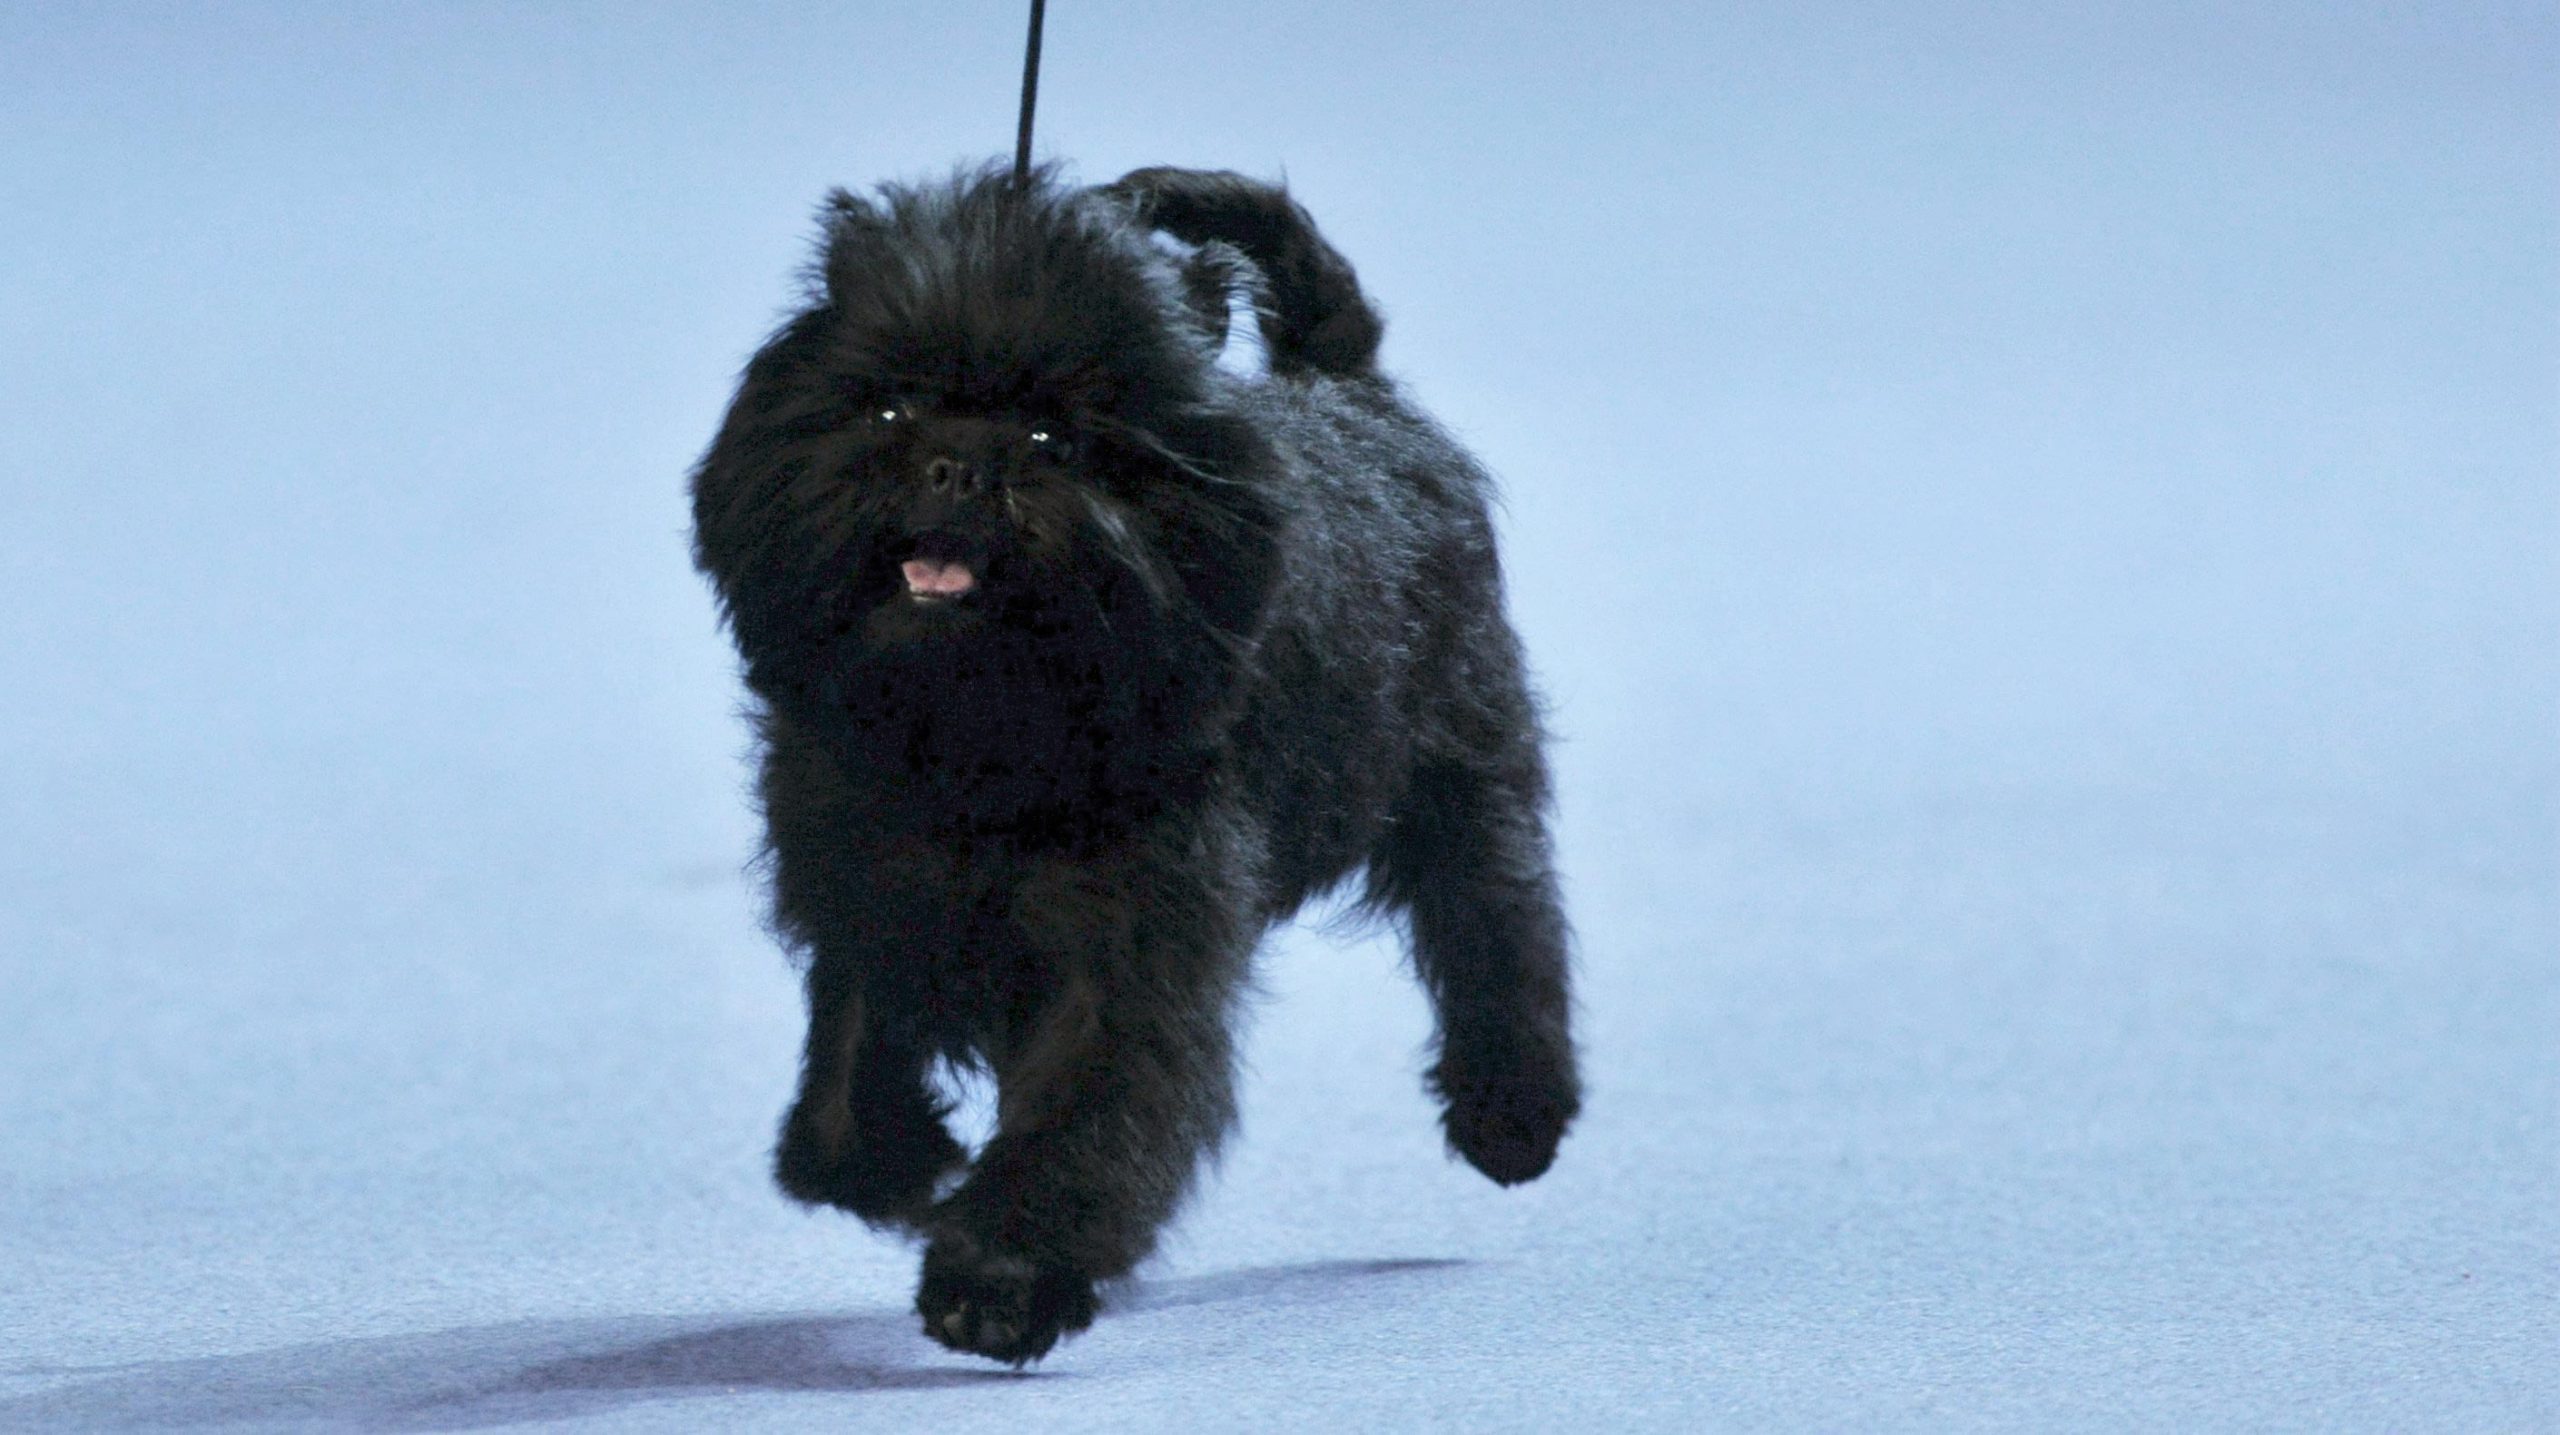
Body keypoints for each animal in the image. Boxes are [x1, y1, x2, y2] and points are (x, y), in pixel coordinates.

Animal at [701, 162, 1576, 1360]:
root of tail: (1344, 382)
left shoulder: (1128, 942)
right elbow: (853, 1045)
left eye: (1052, 437)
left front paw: (999, 1277)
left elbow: (1083, 1110)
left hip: (1460, 751)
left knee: (1496, 916)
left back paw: (1512, 1113)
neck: (973, 733)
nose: (959, 463)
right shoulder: (864, 882)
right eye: (886, 408)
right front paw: (880, 1160)